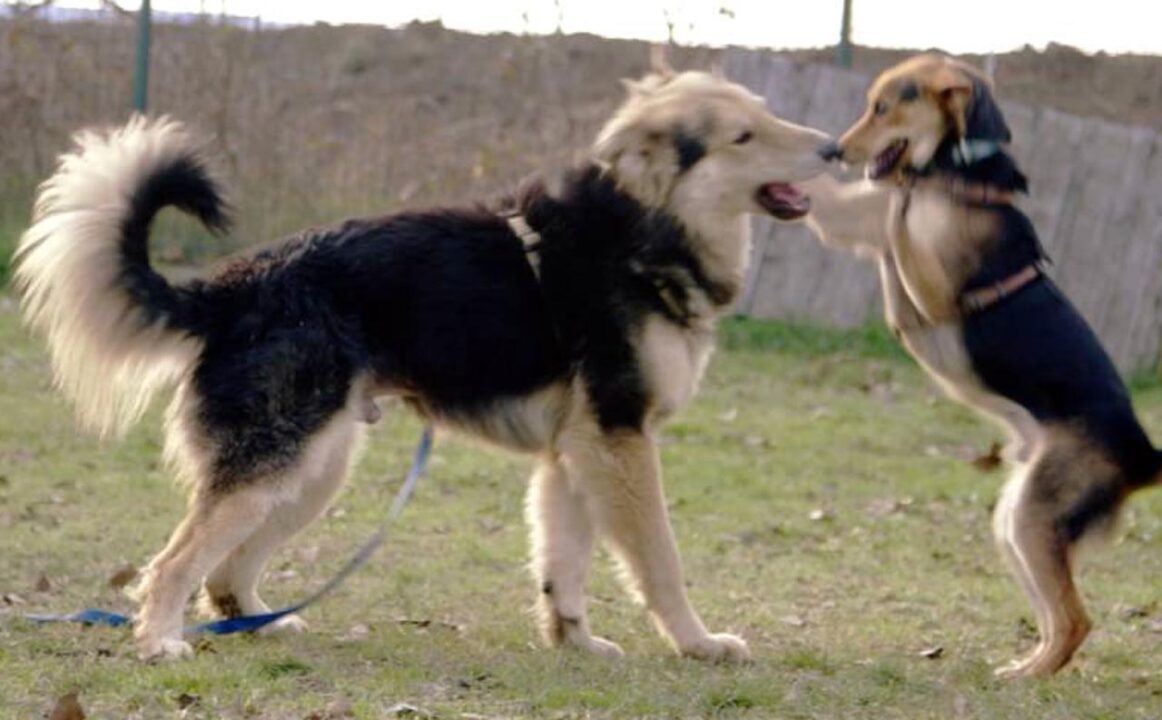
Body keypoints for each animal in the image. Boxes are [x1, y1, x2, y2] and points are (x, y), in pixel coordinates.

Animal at [9, 67, 827, 664]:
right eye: (744, 136)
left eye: (766, 118)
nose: (831, 149)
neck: (642, 228)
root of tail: (235, 286)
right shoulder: (620, 440)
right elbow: (659, 560)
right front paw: (697, 643)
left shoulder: (576, 455)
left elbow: (564, 564)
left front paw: (575, 641)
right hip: (275, 467)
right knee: (174, 563)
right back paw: (159, 642)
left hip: (311, 472)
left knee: (224, 570)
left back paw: (255, 625)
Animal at [799, 54, 1162, 673]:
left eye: (883, 107)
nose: (831, 150)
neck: (950, 170)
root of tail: (1143, 455)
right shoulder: (860, 224)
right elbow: (855, 206)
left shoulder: (933, 292)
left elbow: (898, 216)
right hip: (1017, 521)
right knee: (1056, 616)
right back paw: (1022, 665)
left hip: (1034, 519)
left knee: (1076, 622)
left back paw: (1028, 677)